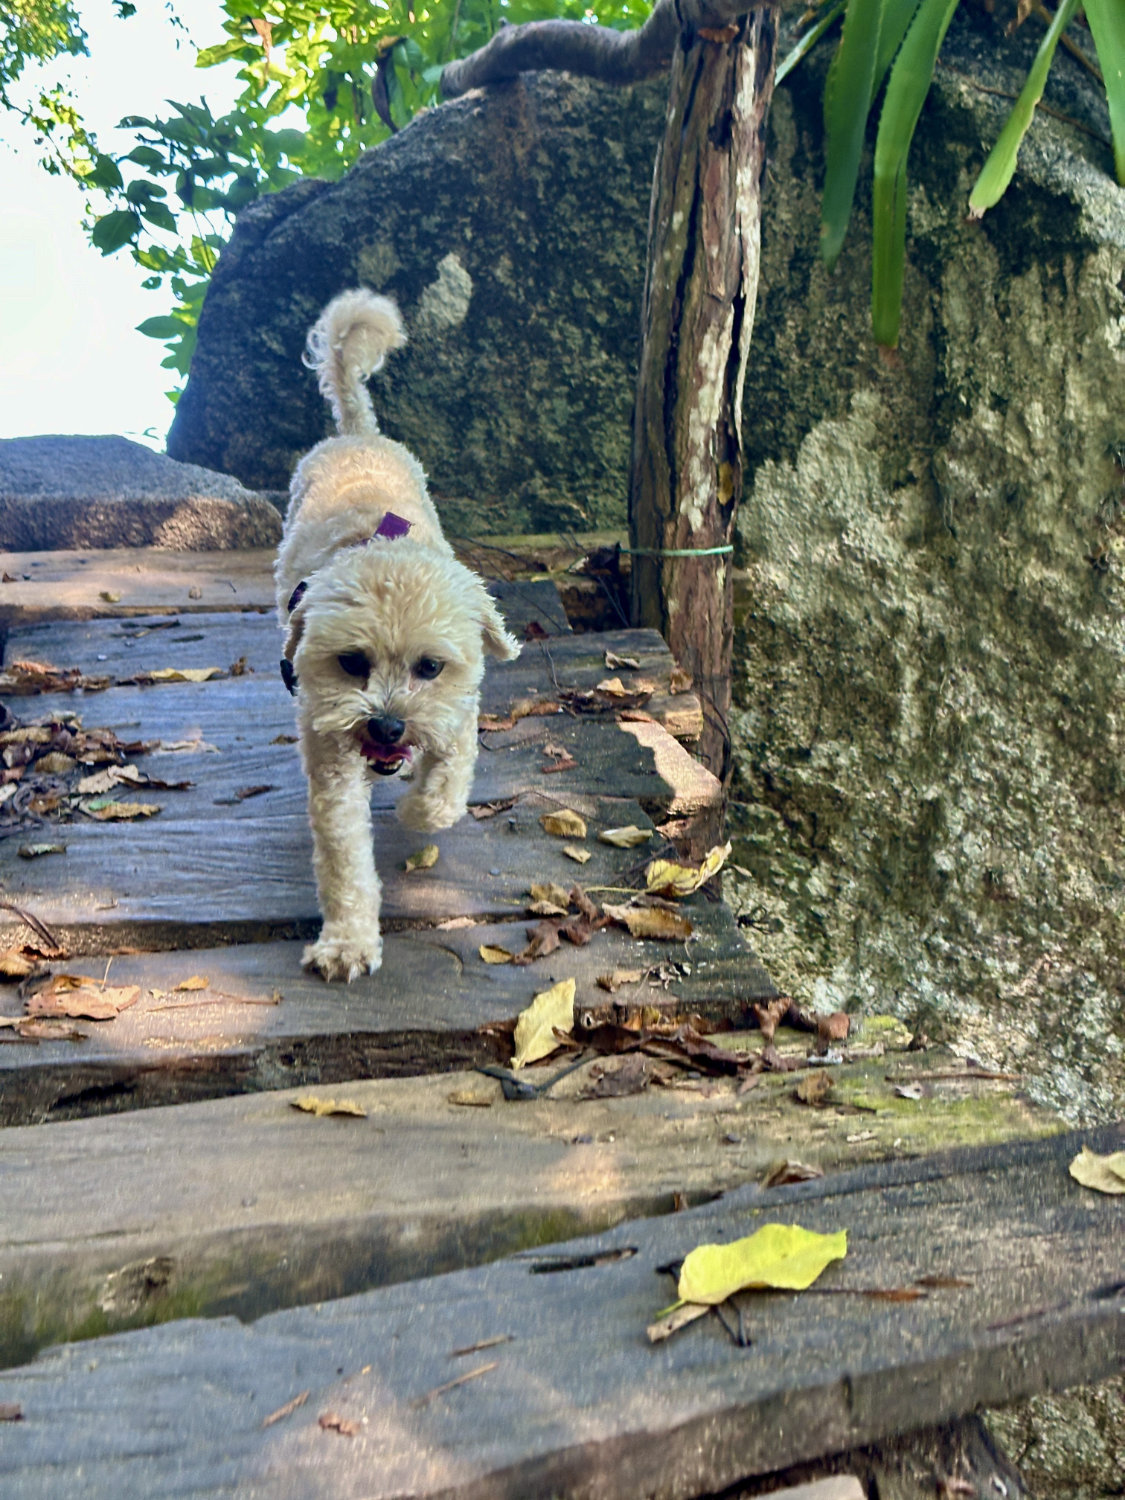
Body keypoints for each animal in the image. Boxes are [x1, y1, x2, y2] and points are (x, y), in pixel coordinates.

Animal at [276, 289, 522, 984]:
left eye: (430, 667)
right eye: (351, 662)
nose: (387, 727)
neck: (379, 545)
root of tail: (356, 434)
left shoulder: (458, 715)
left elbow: (445, 787)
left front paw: (417, 809)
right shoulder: (332, 765)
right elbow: (344, 861)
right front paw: (347, 942)